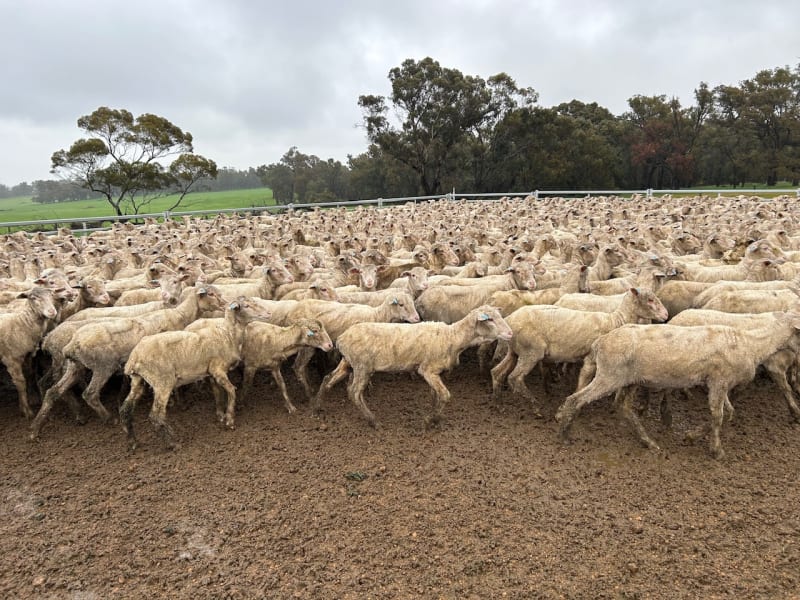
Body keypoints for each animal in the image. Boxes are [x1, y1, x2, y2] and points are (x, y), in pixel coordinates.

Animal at [0, 287, 58, 418]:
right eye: (33, 297)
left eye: (51, 295)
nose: (52, 311)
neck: (22, 323)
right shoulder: (11, 359)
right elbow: (21, 382)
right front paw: (26, 410)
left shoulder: (28, 355)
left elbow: (30, 374)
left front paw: (33, 398)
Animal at [119, 297, 272, 449]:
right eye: (246, 306)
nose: (269, 314)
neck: (227, 334)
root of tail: (135, 357)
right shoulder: (218, 369)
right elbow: (231, 391)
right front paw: (229, 420)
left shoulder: (211, 372)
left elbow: (218, 393)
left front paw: (220, 415)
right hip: (163, 382)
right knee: (156, 416)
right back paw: (172, 443)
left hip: (138, 379)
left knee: (125, 410)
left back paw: (133, 441)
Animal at [314, 305, 513, 428]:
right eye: (490, 319)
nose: (511, 333)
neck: (453, 336)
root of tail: (341, 339)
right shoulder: (427, 370)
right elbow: (445, 395)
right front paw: (430, 420)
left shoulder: (434, 373)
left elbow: (435, 395)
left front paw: (435, 417)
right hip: (362, 366)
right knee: (354, 392)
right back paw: (373, 421)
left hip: (348, 362)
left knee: (328, 379)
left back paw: (318, 407)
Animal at [491, 288, 669, 415]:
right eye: (650, 299)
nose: (666, 315)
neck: (615, 320)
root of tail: (510, 319)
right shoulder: (590, 359)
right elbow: (583, 381)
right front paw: (571, 407)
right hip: (531, 352)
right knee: (515, 378)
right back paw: (535, 407)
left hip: (514, 352)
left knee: (497, 372)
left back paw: (498, 404)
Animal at [554, 312, 800, 459]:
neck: (752, 344)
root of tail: (600, 342)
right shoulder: (719, 380)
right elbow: (718, 415)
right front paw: (716, 450)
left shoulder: (718, 382)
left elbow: (727, 413)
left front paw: (693, 436)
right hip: (610, 375)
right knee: (576, 399)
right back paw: (564, 432)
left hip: (629, 379)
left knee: (623, 408)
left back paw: (648, 442)